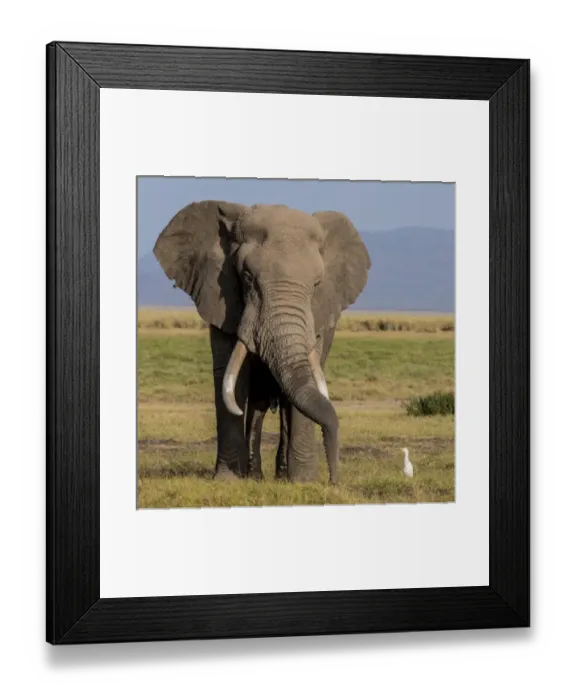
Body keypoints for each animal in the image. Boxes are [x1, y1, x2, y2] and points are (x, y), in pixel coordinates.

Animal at [153, 200, 371, 484]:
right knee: (257, 405)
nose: (335, 481)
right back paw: (255, 476)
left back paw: (281, 476)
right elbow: (229, 377)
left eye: (316, 284)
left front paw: (304, 482)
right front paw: (228, 481)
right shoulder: (221, 300)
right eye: (247, 277)